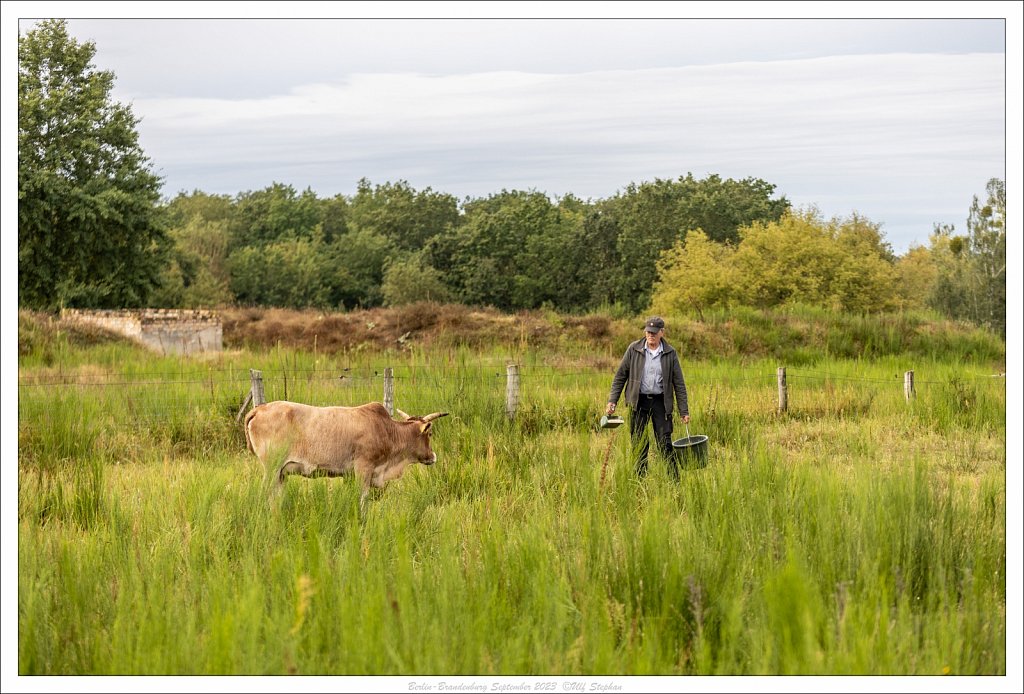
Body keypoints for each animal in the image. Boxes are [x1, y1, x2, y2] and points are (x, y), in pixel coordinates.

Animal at [243, 403, 448, 505]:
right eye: (429, 433)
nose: (433, 456)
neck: (387, 430)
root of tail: (259, 408)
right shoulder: (364, 469)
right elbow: (363, 500)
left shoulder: (349, 474)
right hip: (272, 469)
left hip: (281, 474)